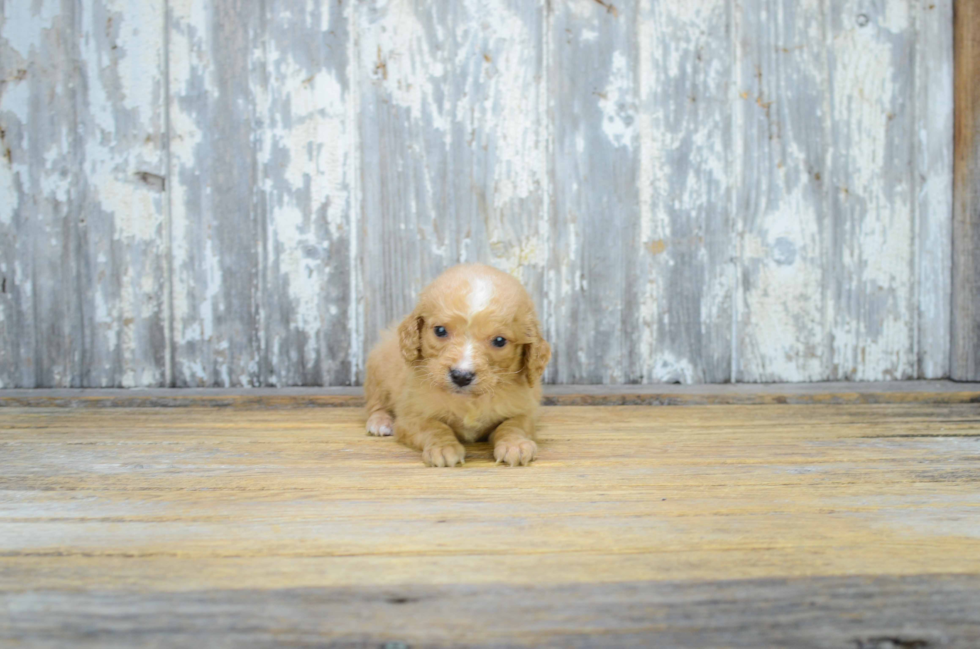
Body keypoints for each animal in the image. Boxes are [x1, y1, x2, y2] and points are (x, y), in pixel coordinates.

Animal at [366, 264, 552, 466]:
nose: (461, 376)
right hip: (377, 370)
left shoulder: (525, 409)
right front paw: (443, 448)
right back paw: (380, 422)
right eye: (440, 330)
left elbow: (513, 425)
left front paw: (515, 444)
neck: (468, 400)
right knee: (375, 402)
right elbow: (434, 427)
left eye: (500, 341)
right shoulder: (410, 417)